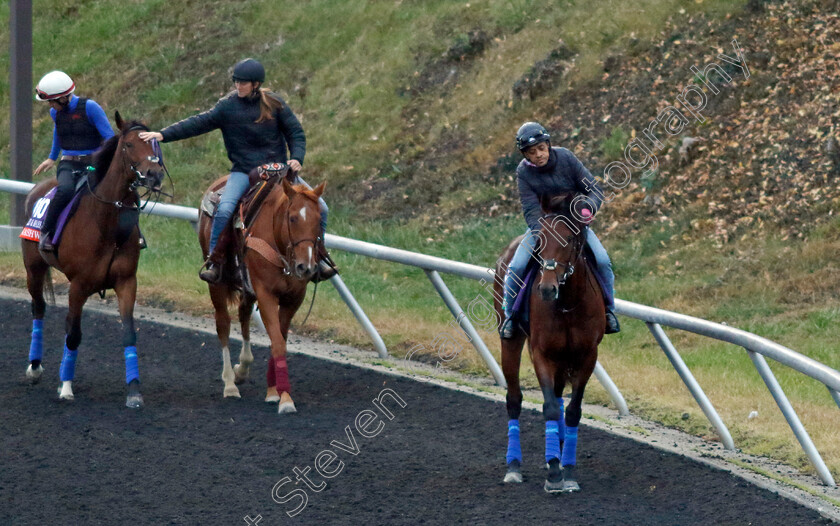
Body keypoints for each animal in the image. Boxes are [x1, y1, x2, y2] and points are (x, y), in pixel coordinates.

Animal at [20, 113, 164, 410]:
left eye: (154, 144)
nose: (154, 174)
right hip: (33, 268)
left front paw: (134, 391)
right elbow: (73, 333)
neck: (106, 222)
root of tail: (35, 190)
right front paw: (65, 386)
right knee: (38, 307)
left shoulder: (126, 281)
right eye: (129, 145)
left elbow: (129, 332)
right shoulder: (78, 285)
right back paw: (35, 367)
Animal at [492, 193, 604, 496]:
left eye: (568, 238)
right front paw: (554, 472)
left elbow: (573, 410)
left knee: (558, 394)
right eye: (540, 240)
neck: (567, 305)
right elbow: (550, 407)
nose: (546, 289)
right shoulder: (541, 353)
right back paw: (514, 466)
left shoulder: (587, 355)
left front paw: (568, 469)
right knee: (514, 399)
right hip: (511, 338)